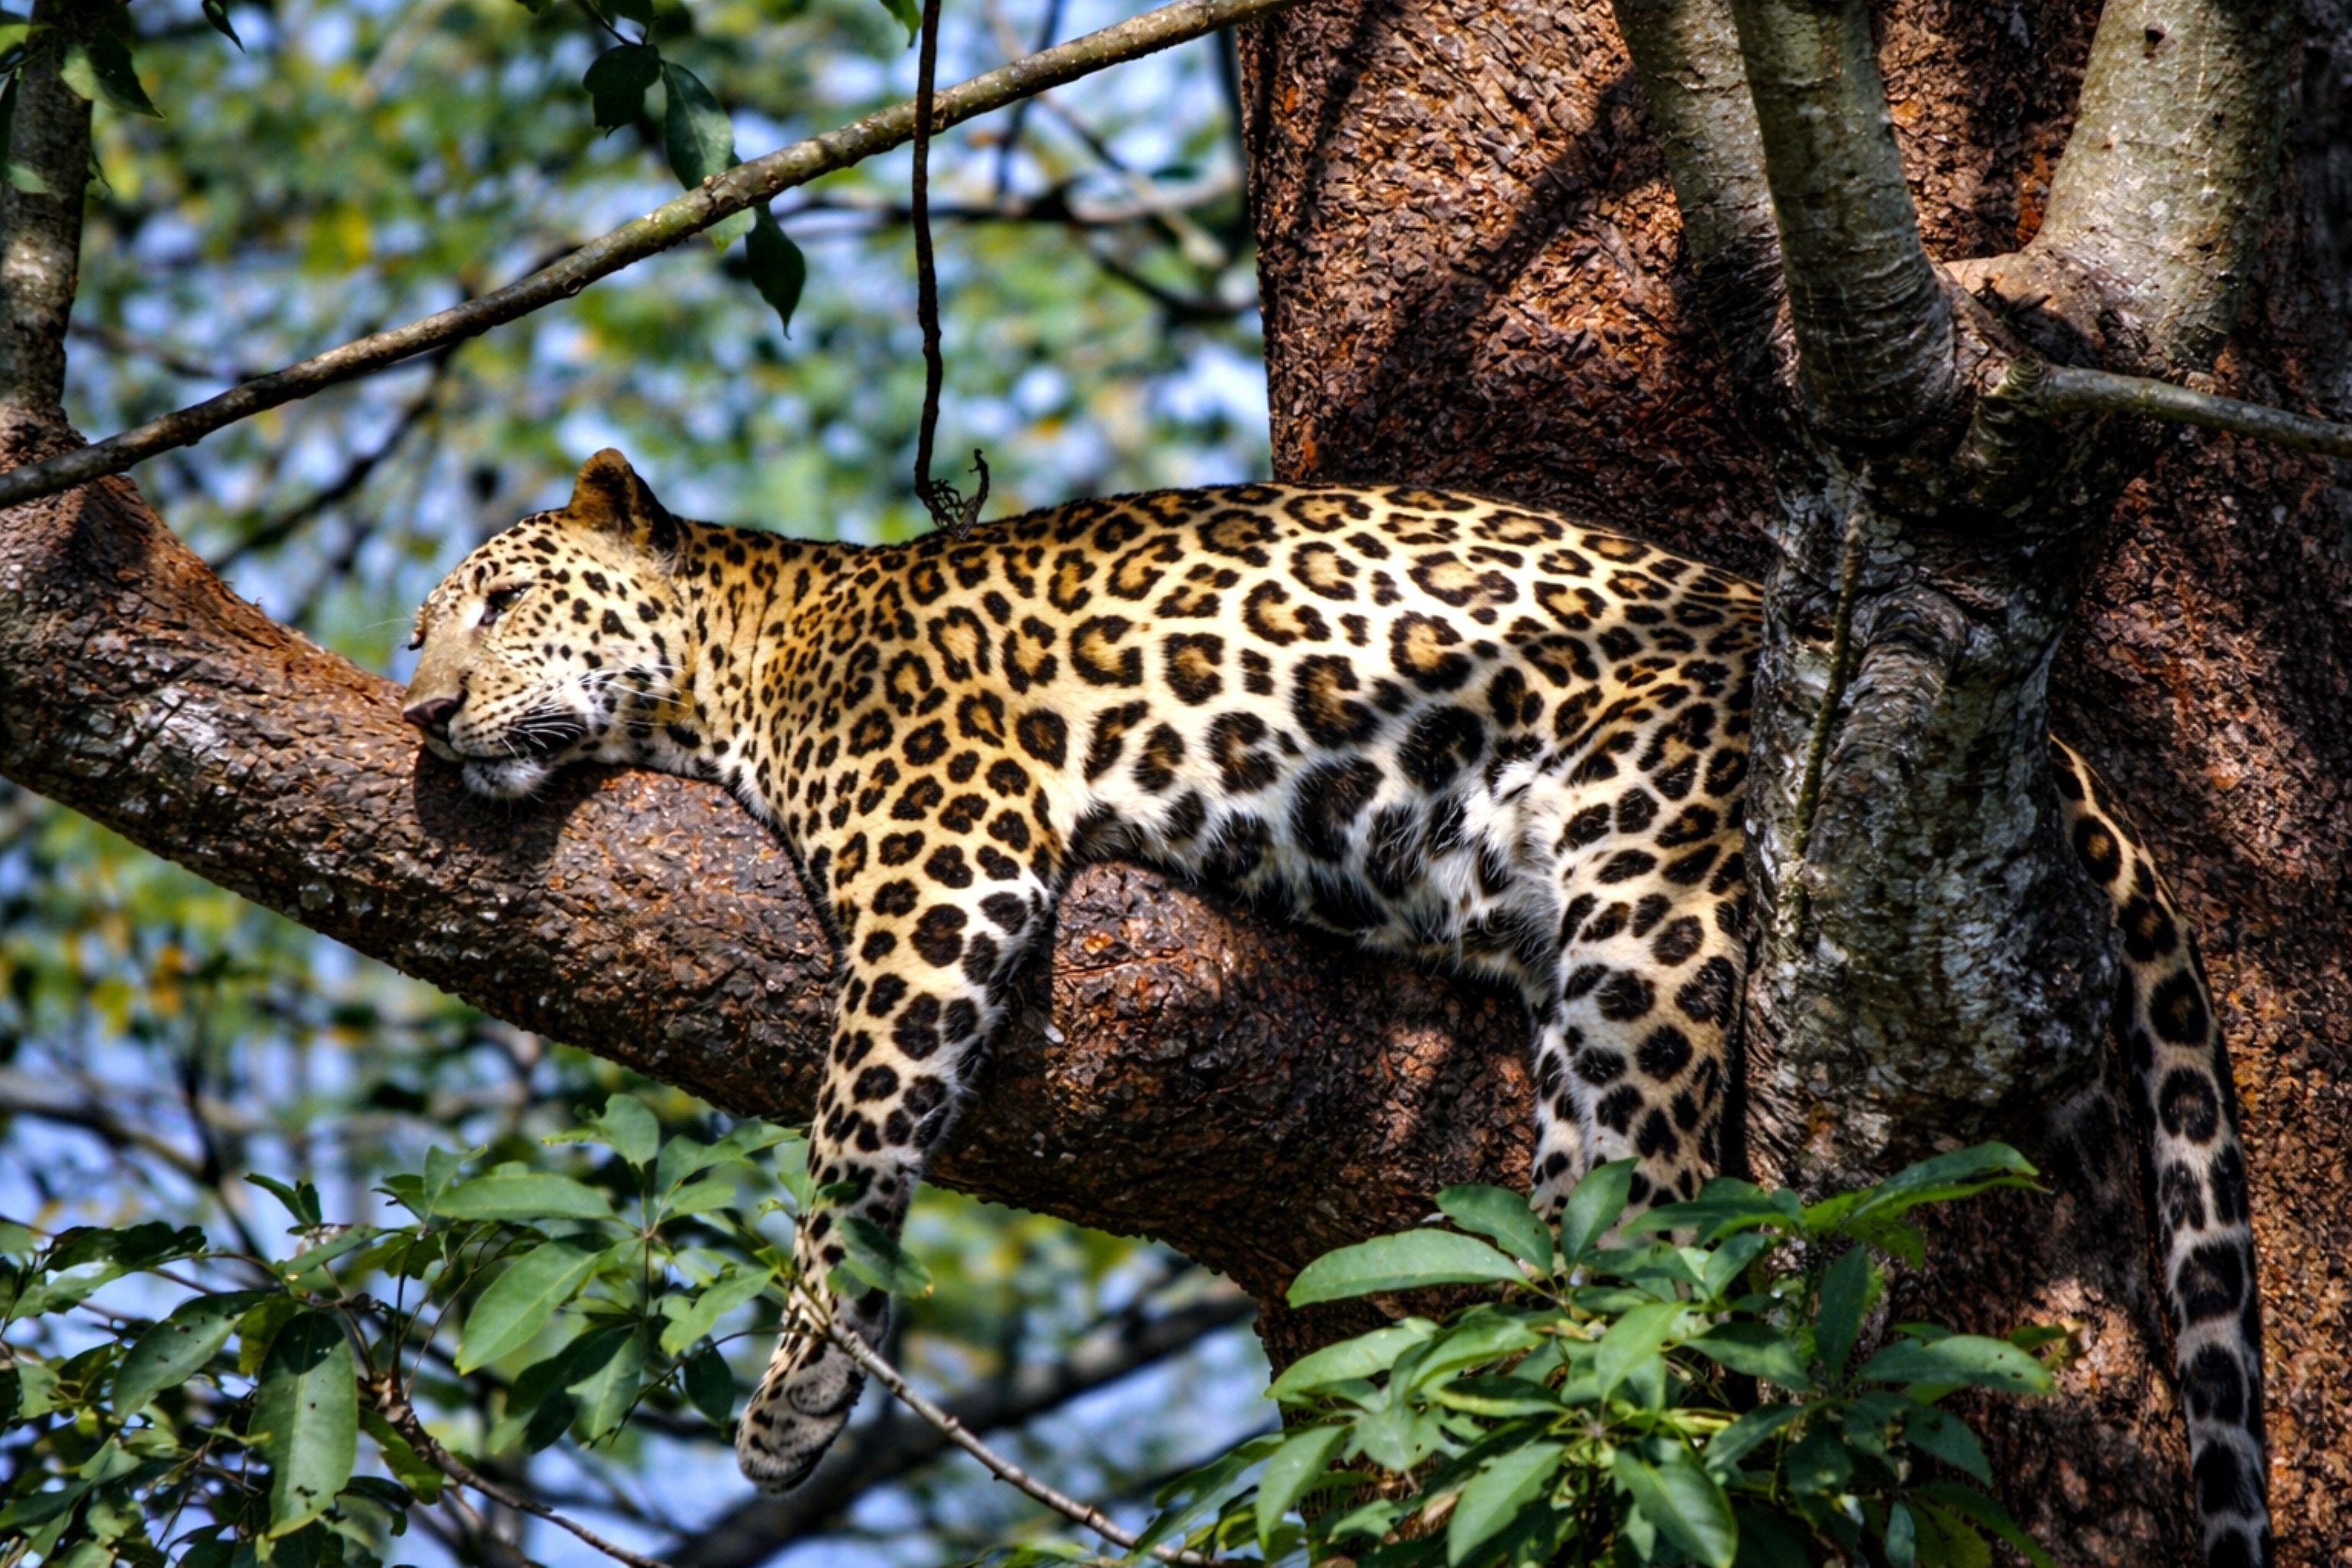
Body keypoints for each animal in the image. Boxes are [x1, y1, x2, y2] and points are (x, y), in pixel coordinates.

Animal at [402, 450, 2269, 1567]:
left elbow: (852, 1136)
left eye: (500, 600)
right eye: (424, 632)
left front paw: (798, 1394)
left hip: (1655, 900)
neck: (744, 659)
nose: (419, 713)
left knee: (1664, 1218)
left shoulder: (947, 864)